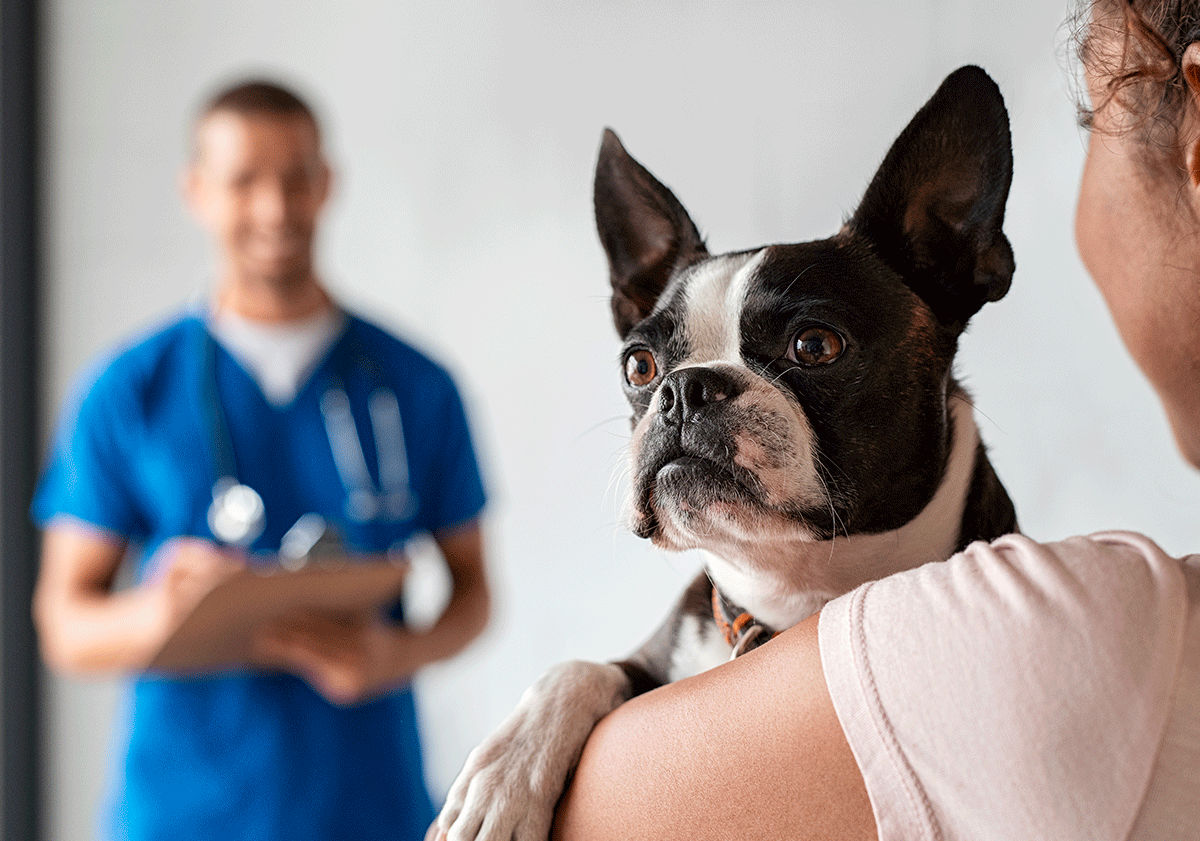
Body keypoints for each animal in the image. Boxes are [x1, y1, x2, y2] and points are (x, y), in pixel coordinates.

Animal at [429, 65, 1012, 839]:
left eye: (815, 345)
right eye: (639, 364)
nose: (683, 388)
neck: (787, 593)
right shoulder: (650, 655)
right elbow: (580, 667)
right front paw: (500, 778)